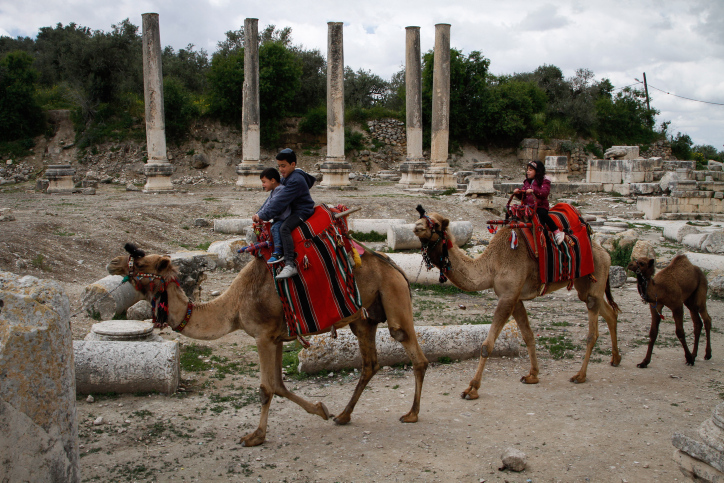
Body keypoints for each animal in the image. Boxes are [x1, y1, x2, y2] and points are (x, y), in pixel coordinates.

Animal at [104, 244, 428, 448]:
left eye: (142, 263)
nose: (113, 262)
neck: (234, 307)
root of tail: (395, 266)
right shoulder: (276, 337)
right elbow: (280, 385)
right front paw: (321, 409)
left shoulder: (261, 336)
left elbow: (265, 388)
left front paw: (254, 437)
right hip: (364, 318)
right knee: (370, 363)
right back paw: (343, 416)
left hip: (393, 294)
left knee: (413, 352)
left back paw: (411, 414)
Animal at [412, 210, 624, 398]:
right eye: (421, 216)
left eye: (435, 224)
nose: (416, 226)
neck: (491, 265)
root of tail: (605, 253)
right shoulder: (516, 298)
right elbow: (528, 336)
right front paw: (533, 375)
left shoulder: (507, 296)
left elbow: (487, 345)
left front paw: (472, 389)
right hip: (584, 286)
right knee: (610, 312)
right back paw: (615, 359)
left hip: (595, 278)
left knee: (593, 331)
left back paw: (580, 375)